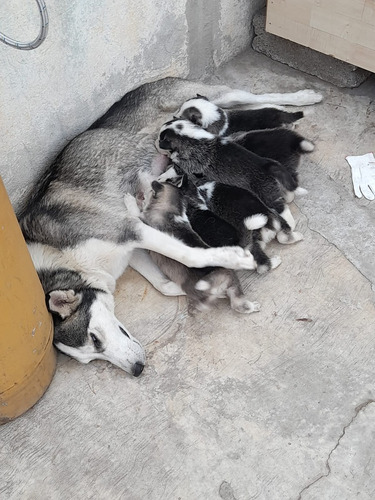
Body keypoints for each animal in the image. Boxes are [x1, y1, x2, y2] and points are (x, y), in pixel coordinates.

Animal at [125, 179, 258, 312]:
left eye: (149, 190)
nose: (138, 193)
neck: (172, 212)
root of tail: (221, 281)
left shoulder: (144, 221)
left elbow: (136, 212)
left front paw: (129, 200)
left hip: (195, 289)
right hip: (234, 285)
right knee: (239, 304)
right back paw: (254, 306)